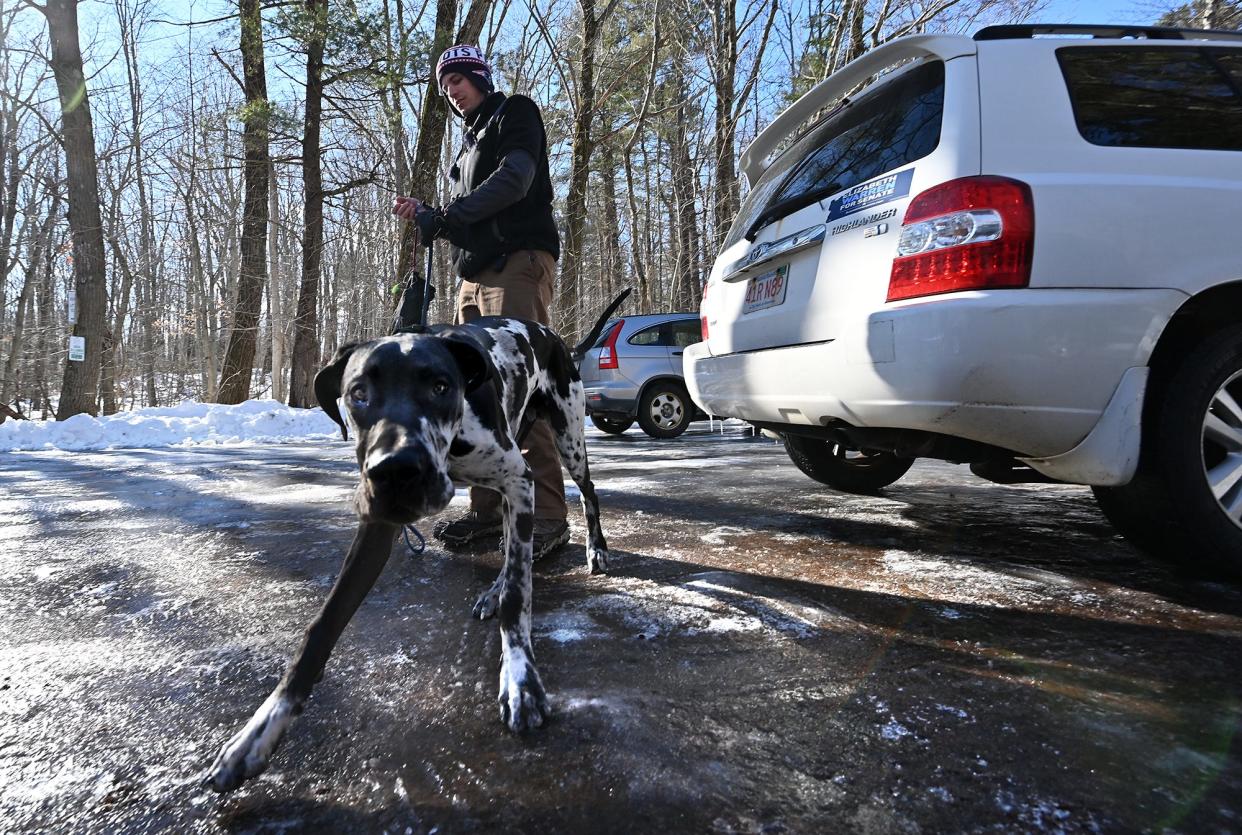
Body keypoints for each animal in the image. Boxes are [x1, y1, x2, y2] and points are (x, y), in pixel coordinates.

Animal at [202, 316, 606, 790]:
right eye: (358, 393)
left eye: (440, 387)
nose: (396, 470)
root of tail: (553, 335)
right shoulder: (378, 522)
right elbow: (323, 627)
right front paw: (260, 730)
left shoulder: (518, 479)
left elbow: (518, 598)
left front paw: (520, 680)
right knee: (510, 542)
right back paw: (494, 587)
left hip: (567, 440)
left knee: (585, 493)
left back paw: (596, 551)